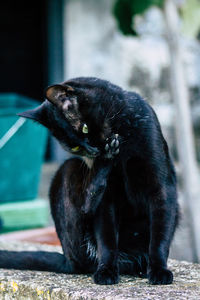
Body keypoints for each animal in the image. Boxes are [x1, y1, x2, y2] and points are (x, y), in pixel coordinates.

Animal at [0, 76, 178, 284]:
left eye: (85, 128)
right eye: (75, 147)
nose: (94, 150)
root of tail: (67, 260)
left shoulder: (161, 186)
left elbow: (160, 234)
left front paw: (159, 270)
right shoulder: (107, 200)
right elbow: (107, 238)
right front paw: (106, 271)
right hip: (68, 169)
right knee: (87, 207)